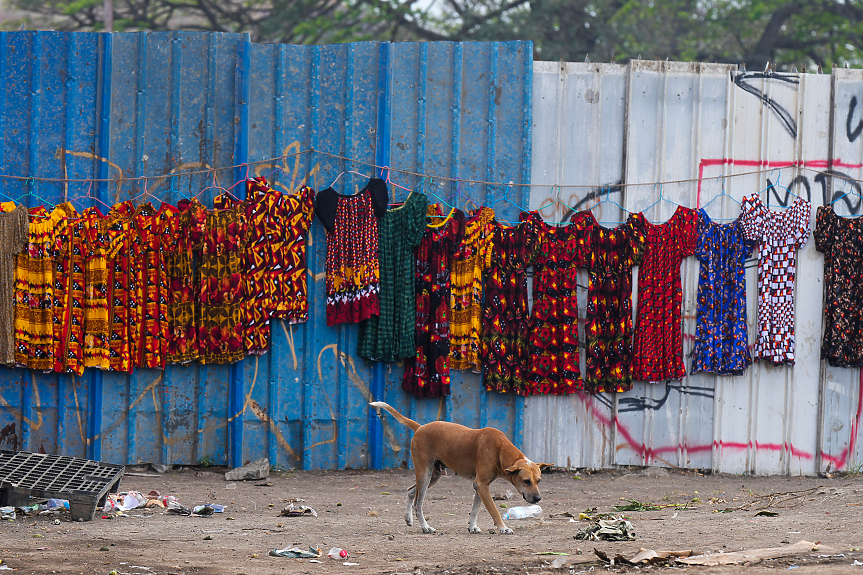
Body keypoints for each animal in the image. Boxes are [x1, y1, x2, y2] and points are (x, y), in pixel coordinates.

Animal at [368, 402, 552, 532]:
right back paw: (425, 527)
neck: (500, 449)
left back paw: (408, 519)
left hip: (433, 476)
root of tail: (420, 427)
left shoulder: (480, 486)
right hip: (425, 475)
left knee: (410, 491)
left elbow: (475, 509)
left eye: (539, 480)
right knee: (417, 504)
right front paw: (503, 528)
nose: (538, 499)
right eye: (526, 481)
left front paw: (472, 526)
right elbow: (494, 510)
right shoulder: (482, 485)